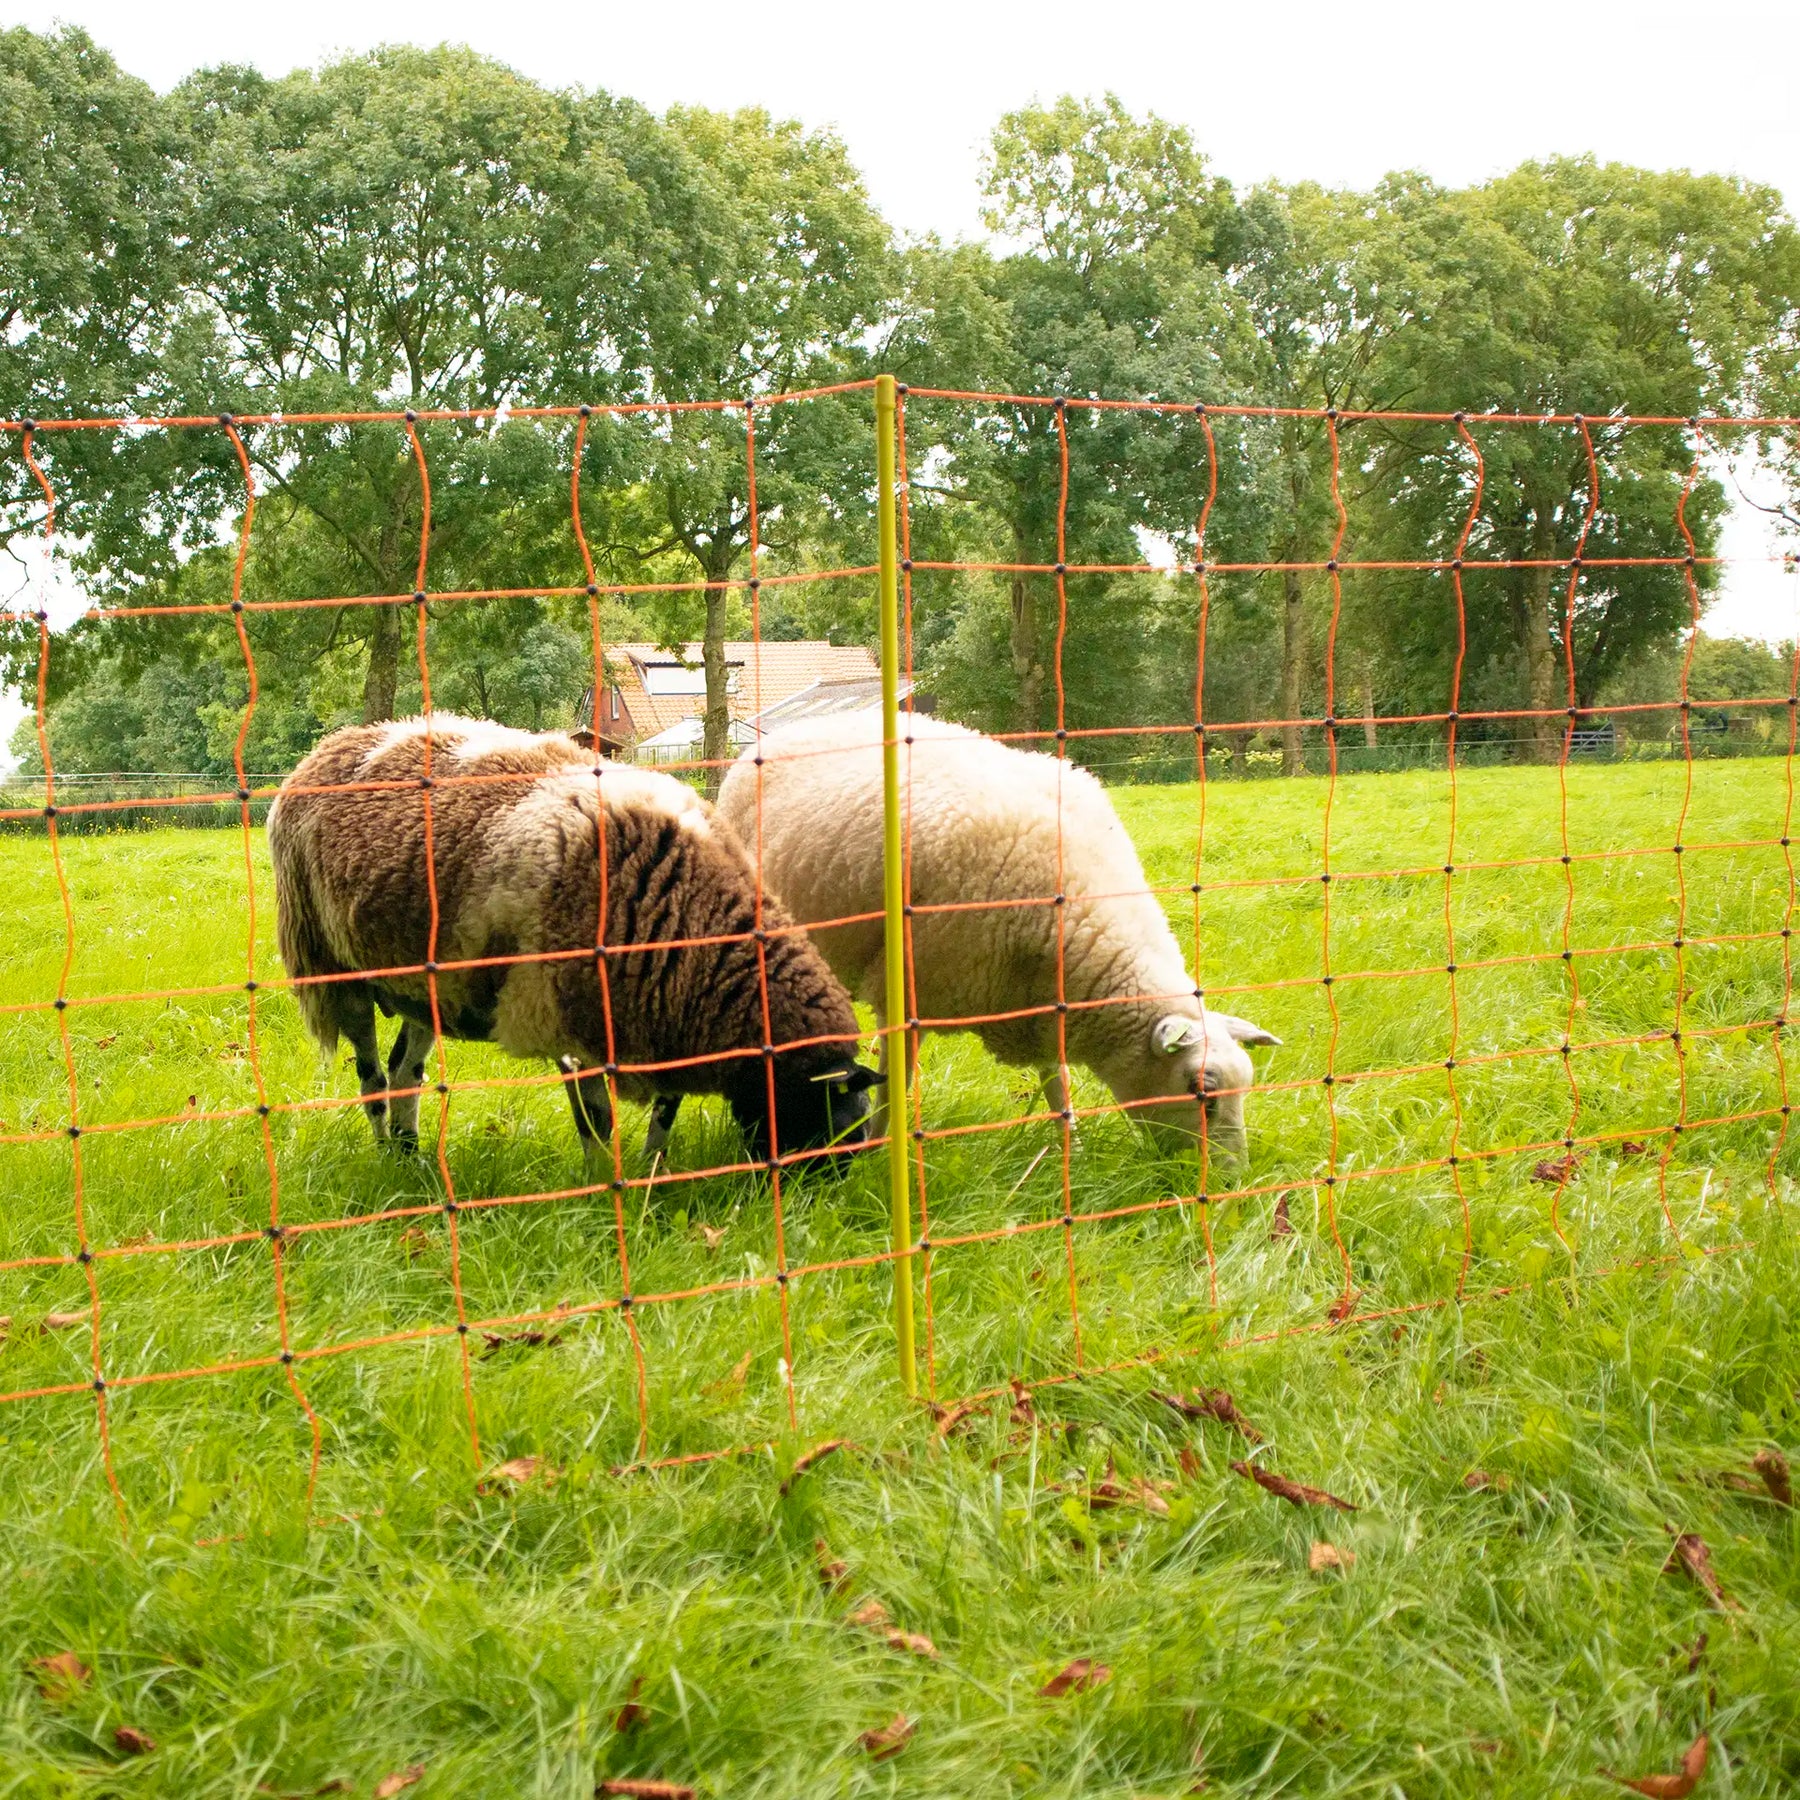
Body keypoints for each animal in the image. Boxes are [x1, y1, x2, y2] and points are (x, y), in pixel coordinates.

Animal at [267, 714, 879, 1175]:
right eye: (825, 1119)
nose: (813, 1196)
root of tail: (333, 743)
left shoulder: (666, 1015)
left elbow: (665, 1111)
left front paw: (651, 1175)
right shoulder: (562, 1013)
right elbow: (595, 1119)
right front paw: (604, 1188)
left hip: (426, 986)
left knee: (403, 1073)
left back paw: (411, 1158)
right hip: (330, 967)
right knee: (371, 1076)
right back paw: (388, 1161)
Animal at [715, 713, 1277, 1160]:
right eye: (1201, 1089)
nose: (1231, 1181)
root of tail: (792, 727)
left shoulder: (1040, 1000)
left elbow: (1057, 1081)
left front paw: (1071, 1145)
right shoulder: (909, 988)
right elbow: (895, 1083)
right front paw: (878, 1154)